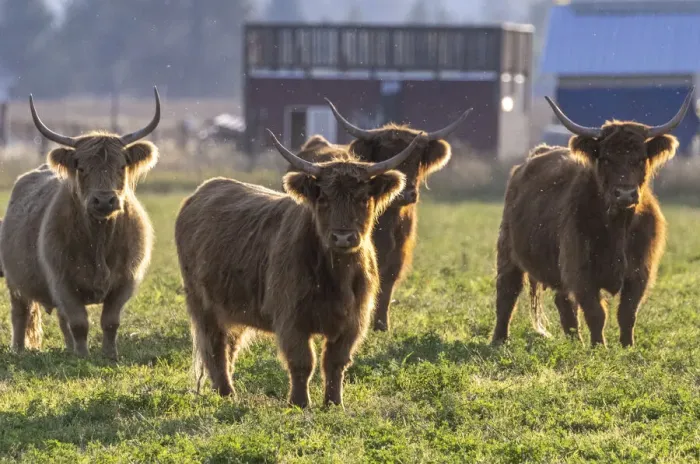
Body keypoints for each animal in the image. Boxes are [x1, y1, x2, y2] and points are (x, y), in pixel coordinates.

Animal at [0, 88, 161, 359]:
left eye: (121, 166)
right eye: (82, 168)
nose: (104, 200)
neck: (99, 239)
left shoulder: (125, 281)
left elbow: (110, 321)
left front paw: (108, 355)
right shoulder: (62, 282)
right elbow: (79, 323)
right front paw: (82, 356)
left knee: (60, 321)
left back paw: (68, 348)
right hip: (15, 282)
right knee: (20, 314)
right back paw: (20, 350)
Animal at [175, 129, 423, 408]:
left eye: (362, 199)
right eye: (323, 198)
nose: (343, 237)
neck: (336, 276)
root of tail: (206, 188)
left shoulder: (354, 321)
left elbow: (335, 362)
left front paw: (334, 403)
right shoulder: (291, 318)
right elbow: (303, 361)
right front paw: (299, 403)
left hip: (233, 306)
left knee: (230, 344)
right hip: (203, 304)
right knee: (214, 346)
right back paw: (226, 393)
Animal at [295, 100, 470, 331]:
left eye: (416, 159)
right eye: (385, 156)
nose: (406, 193)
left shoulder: (399, 252)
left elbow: (387, 282)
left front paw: (381, 325)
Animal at [492, 89, 694, 347]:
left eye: (640, 159)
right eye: (606, 158)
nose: (625, 193)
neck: (619, 226)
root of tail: (537, 153)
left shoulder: (639, 272)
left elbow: (627, 312)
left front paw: (627, 347)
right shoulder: (581, 271)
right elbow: (596, 313)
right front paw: (599, 347)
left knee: (563, 302)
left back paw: (574, 342)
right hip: (508, 250)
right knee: (507, 293)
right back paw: (499, 340)